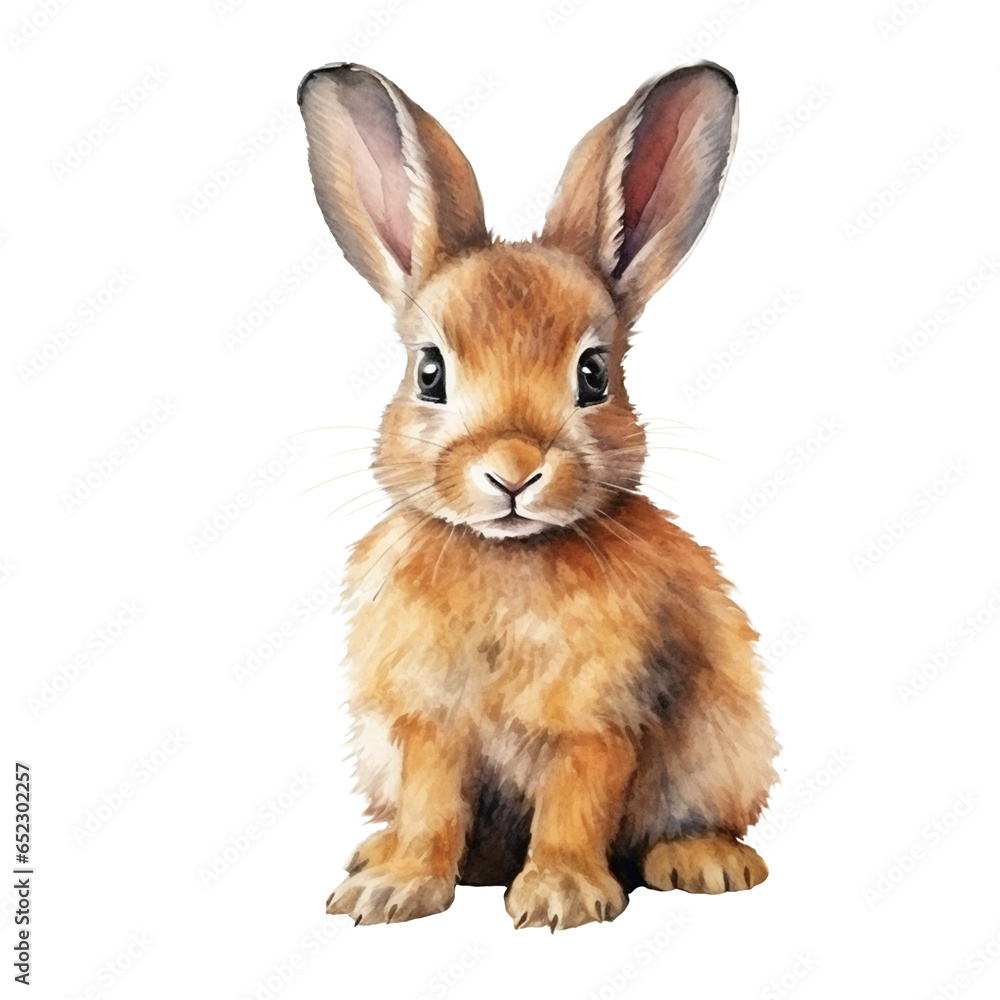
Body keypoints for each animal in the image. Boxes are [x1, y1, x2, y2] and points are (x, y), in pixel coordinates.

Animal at [298, 60, 778, 930]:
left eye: (594, 374)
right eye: (430, 371)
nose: (514, 469)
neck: (507, 556)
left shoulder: (598, 719)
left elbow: (575, 802)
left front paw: (560, 898)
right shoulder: (426, 723)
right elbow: (431, 806)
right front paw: (394, 891)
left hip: (723, 751)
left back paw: (705, 862)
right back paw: (381, 854)